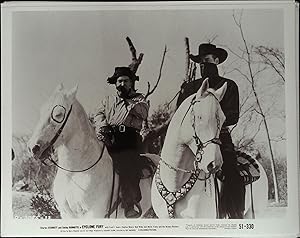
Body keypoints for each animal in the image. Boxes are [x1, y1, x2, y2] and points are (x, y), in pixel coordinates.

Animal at [27, 83, 154, 218]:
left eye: (58, 114)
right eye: (41, 111)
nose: (33, 147)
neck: (74, 172)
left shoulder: (94, 213)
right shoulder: (66, 214)